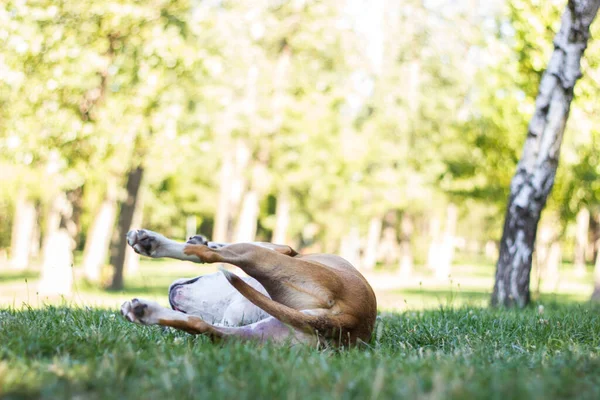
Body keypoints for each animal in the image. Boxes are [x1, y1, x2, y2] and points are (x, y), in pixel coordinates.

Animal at [120, 228, 378, 346]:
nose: (174, 299)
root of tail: (352, 317)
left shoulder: (280, 250)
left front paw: (204, 243)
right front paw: (206, 240)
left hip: (256, 256)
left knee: (208, 256)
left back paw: (152, 243)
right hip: (258, 336)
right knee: (201, 325)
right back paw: (144, 312)